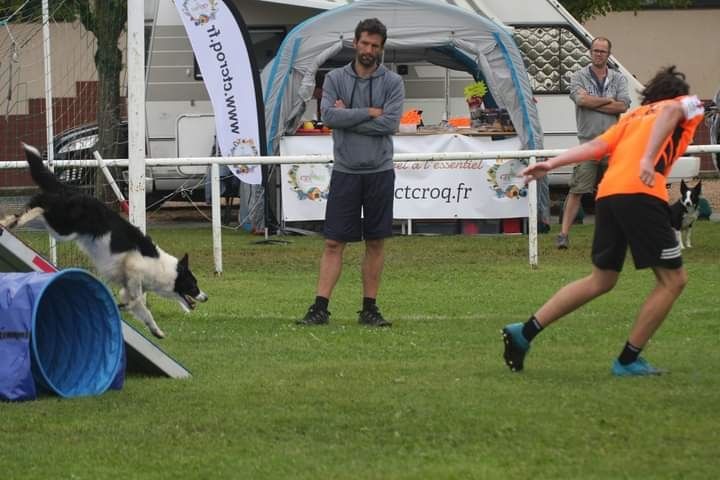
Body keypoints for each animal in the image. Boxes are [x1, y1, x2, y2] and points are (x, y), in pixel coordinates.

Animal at [0, 144, 208, 340]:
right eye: (193, 285)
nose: (205, 297)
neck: (164, 269)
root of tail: (70, 190)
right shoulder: (133, 266)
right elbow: (138, 301)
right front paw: (129, 307)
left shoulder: (129, 283)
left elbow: (141, 308)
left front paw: (156, 330)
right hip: (64, 227)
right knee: (41, 202)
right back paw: (14, 220)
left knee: (37, 201)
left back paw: (9, 220)